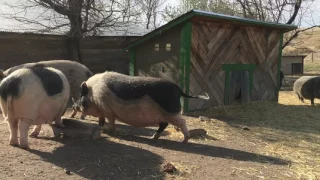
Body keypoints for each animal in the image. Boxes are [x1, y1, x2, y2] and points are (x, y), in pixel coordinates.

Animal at [76, 71, 209, 143]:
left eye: (81, 95)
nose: (75, 106)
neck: (93, 94)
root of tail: (178, 88)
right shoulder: (104, 110)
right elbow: (102, 119)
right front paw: (101, 126)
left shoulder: (107, 109)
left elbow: (111, 121)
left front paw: (110, 131)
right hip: (164, 115)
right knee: (164, 124)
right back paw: (153, 137)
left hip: (171, 112)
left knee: (182, 122)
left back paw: (184, 141)